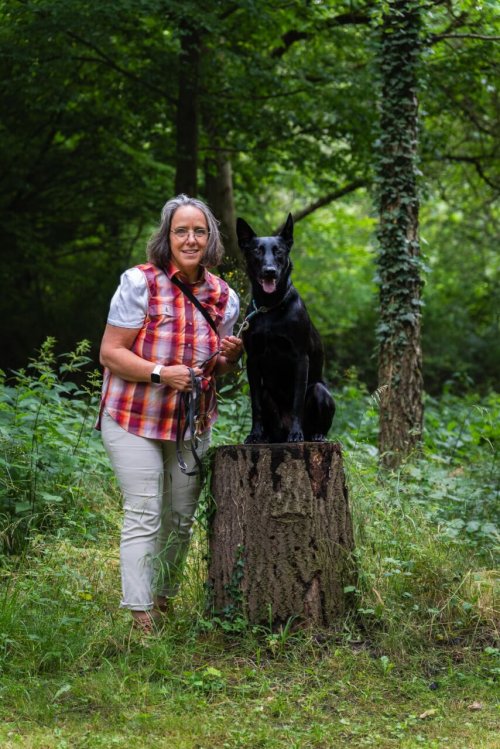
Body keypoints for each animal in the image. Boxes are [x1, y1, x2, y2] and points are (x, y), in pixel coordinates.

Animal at [236, 213, 335, 444]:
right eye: (257, 251)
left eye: (279, 251)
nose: (270, 272)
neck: (269, 308)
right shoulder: (253, 360)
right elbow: (255, 405)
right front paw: (254, 434)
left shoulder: (300, 358)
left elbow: (297, 400)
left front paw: (296, 434)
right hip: (267, 394)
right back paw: (267, 437)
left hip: (321, 391)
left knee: (319, 421)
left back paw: (314, 435)